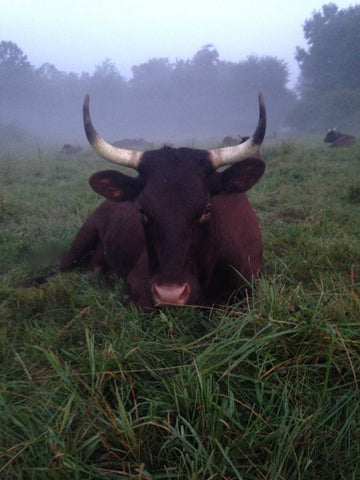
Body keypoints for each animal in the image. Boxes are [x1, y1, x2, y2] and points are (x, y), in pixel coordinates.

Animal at [19, 93, 268, 312]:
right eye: (142, 210)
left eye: (207, 209)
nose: (170, 294)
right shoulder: (140, 280)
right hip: (84, 235)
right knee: (58, 267)